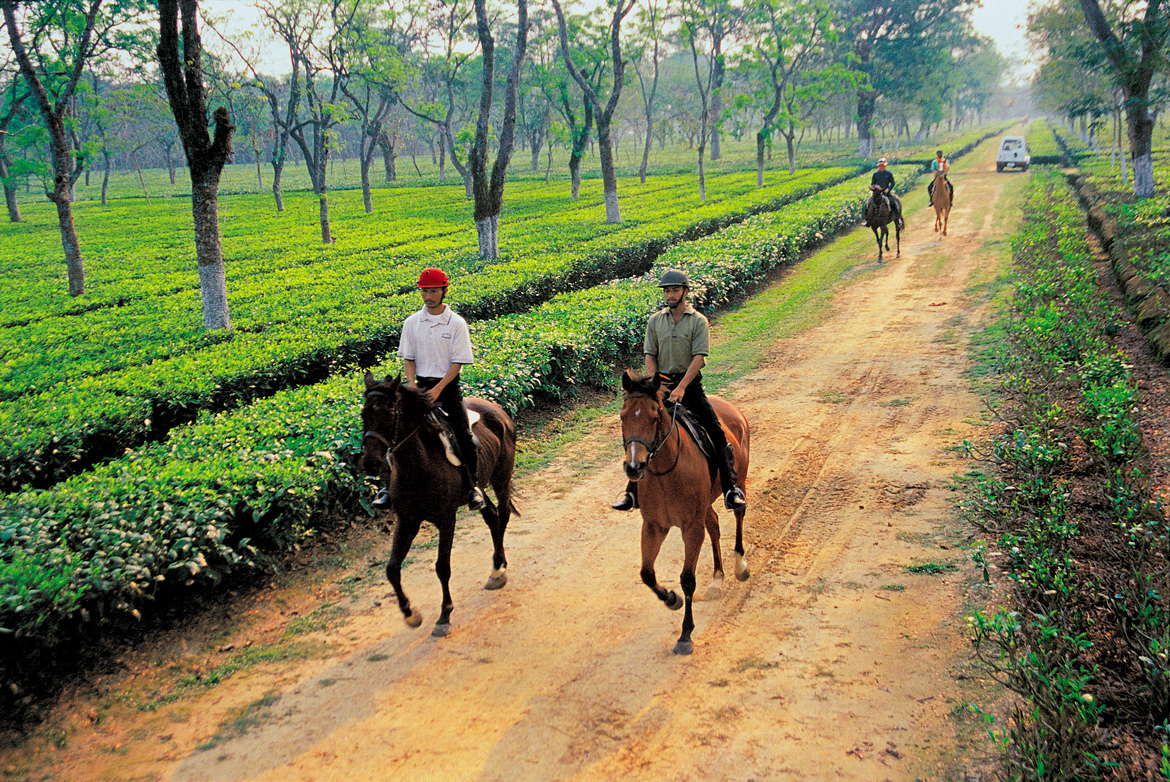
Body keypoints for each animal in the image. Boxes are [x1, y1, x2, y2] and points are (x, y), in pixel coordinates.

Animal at [360, 372, 517, 636]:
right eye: (363, 415)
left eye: (390, 413)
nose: (370, 462)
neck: (418, 467)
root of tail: (497, 409)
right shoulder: (407, 520)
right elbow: (392, 568)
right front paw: (410, 615)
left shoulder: (446, 518)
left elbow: (442, 567)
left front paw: (444, 616)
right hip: (480, 485)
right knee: (492, 515)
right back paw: (498, 567)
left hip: (501, 476)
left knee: (503, 513)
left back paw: (498, 569)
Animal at [622, 372, 748, 655]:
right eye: (623, 416)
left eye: (655, 417)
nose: (634, 467)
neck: (665, 470)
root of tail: (732, 409)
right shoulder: (653, 526)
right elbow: (646, 573)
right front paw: (671, 599)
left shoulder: (691, 526)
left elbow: (688, 578)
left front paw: (685, 635)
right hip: (705, 506)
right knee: (714, 525)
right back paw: (717, 579)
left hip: (740, 481)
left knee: (738, 514)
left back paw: (740, 566)